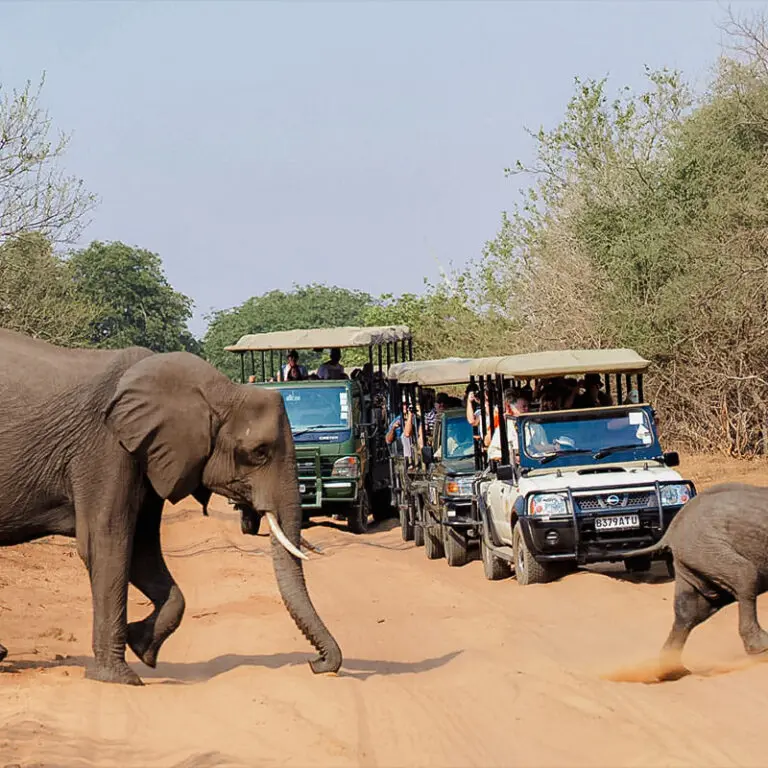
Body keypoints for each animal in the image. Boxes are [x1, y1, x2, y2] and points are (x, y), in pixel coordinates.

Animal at [0, 328, 342, 685]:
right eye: (259, 452)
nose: (315, 664)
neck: (215, 390)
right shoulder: (107, 448)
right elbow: (108, 543)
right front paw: (121, 678)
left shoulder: (149, 455)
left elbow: (142, 549)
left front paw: (142, 646)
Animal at [624, 481, 768, 679]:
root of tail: (672, 530)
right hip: (707, 549)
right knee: (745, 576)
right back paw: (762, 649)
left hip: (695, 558)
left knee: (692, 610)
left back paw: (672, 671)